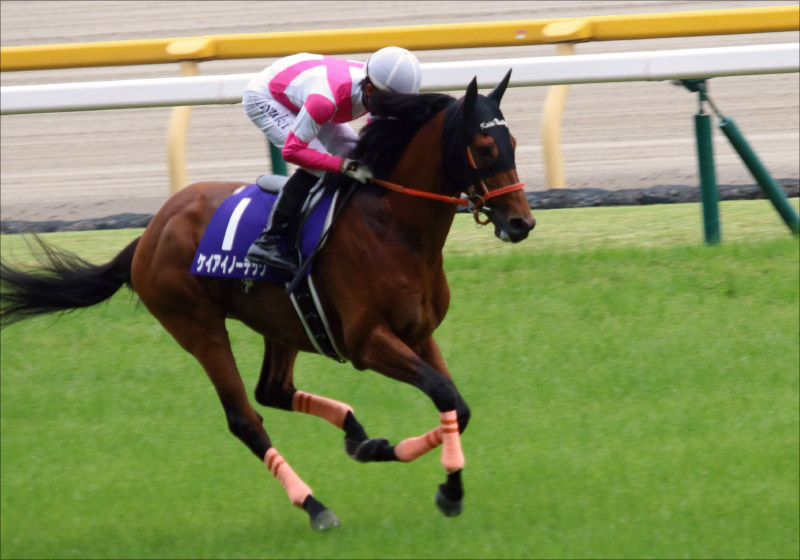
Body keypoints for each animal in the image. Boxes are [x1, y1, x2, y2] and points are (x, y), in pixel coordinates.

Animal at [0, 72, 535, 530]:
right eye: (484, 146)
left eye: (512, 143)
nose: (522, 223)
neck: (393, 225)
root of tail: (150, 232)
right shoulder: (367, 342)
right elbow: (443, 394)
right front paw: (445, 487)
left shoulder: (418, 333)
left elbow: (457, 405)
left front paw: (440, 483)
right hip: (200, 330)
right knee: (246, 419)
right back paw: (315, 505)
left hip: (283, 322)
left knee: (272, 390)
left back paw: (358, 436)